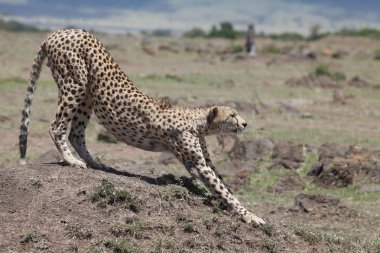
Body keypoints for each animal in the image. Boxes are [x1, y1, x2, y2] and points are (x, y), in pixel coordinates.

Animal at [19, 29, 266, 225]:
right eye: (232, 115)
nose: (245, 123)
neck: (198, 122)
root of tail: (59, 31)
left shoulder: (205, 159)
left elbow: (223, 184)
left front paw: (243, 208)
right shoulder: (197, 164)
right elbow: (222, 188)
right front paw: (250, 216)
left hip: (88, 93)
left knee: (76, 133)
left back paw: (95, 163)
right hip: (75, 82)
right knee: (57, 126)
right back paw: (71, 160)